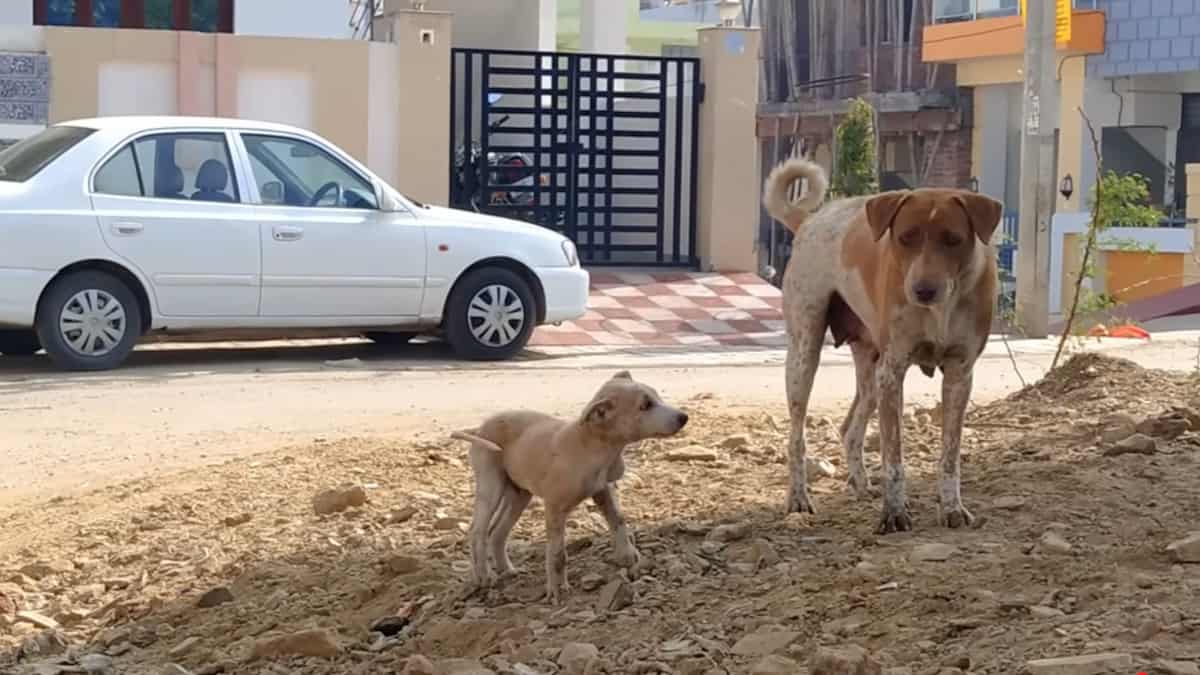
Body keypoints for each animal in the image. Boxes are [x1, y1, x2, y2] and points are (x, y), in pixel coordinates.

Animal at [451, 369, 696, 600]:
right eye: (645, 406)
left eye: (656, 395)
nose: (684, 417)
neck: (593, 446)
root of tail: (480, 427)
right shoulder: (554, 508)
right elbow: (557, 554)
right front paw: (556, 589)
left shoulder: (603, 490)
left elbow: (618, 518)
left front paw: (627, 554)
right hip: (491, 483)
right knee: (478, 531)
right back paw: (483, 577)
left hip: (519, 493)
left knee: (497, 532)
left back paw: (506, 570)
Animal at [768, 156, 1003, 530]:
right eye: (905, 238)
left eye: (953, 239)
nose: (923, 290)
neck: (940, 309)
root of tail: (809, 220)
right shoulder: (893, 373)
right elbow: (893, 457)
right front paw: (894, 513)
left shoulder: (959, 374)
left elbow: (950, 455)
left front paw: (952, 508)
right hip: (805, 354)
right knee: (796, 437)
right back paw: (799, 498)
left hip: (870, 370)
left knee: (850, 428)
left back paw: (861, 484)